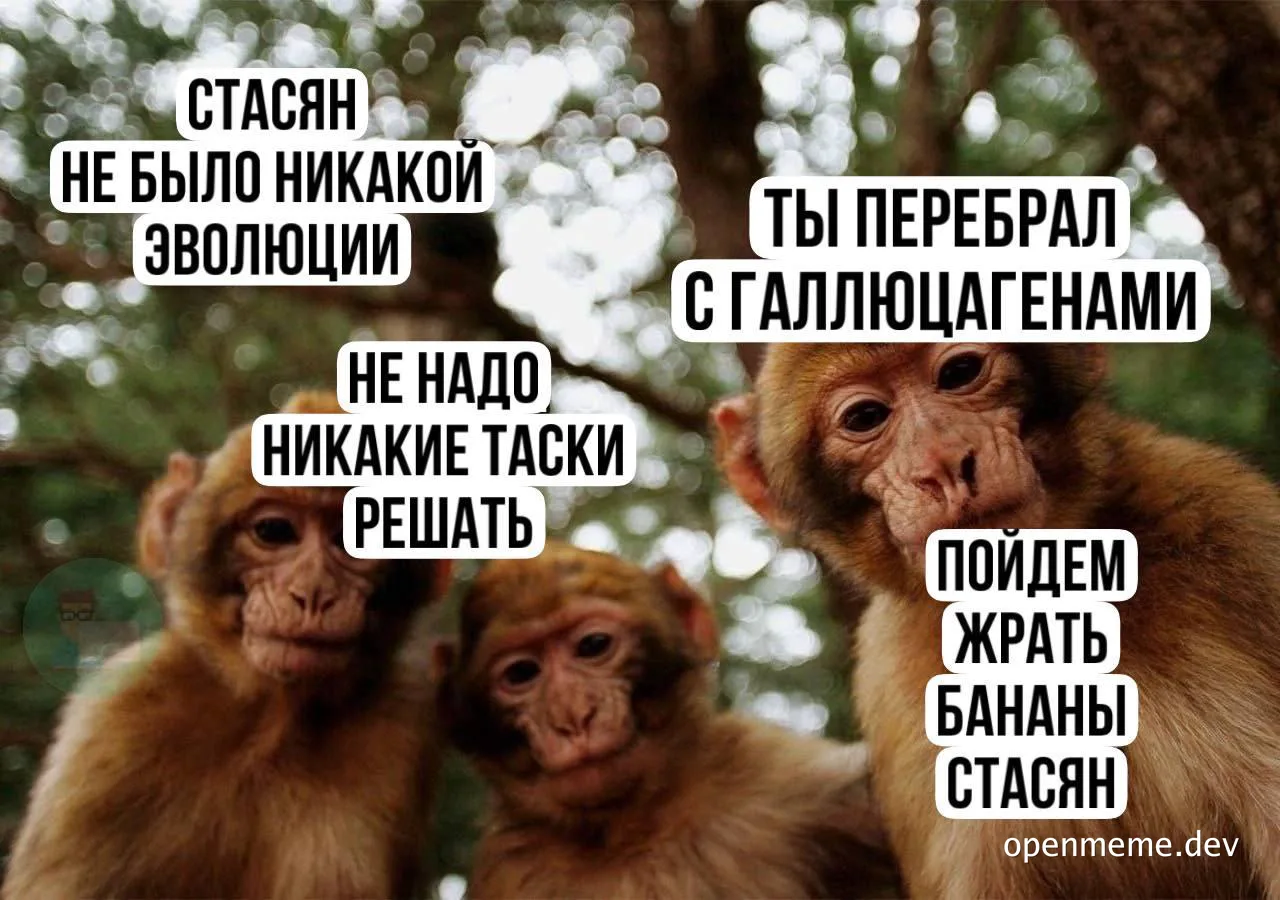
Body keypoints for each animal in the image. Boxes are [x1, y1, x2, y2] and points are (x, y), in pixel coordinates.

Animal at [3, 391, 452, 900]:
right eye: (274, 531)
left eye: (359, 536)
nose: (314, 593)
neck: (272, 723)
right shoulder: (111, 729)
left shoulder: (401, 726)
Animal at [436, 540, 901, 900]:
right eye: (520, 674)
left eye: (593, 645)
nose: (572, 717)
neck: (632, 832)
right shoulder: (509, 866)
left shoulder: (784, 779)